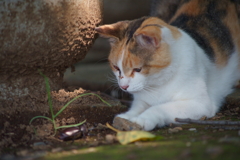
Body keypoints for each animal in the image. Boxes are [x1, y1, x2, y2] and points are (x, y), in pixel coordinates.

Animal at [95, 0, 240, 131]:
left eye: (138, 69)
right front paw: (127, 117)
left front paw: (143, 119)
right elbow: (138, 107)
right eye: (116, 68)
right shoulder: (141, 100)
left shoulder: (201, 103)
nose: (123, 87)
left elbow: (160, 107)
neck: (159, 83)